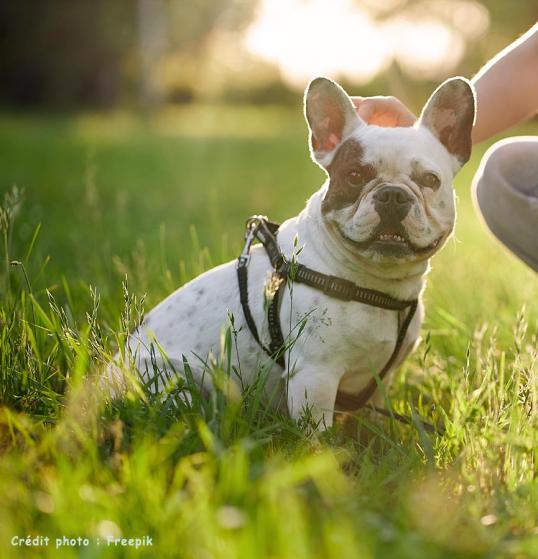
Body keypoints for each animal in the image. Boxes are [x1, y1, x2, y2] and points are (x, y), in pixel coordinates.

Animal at [113, 76, 474, 430]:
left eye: (430, 180)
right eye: (354, 176)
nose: (393, 195)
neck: (375, 284)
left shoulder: (378, 382)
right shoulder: (315, 376)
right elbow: (318, 435)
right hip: (175, 384)